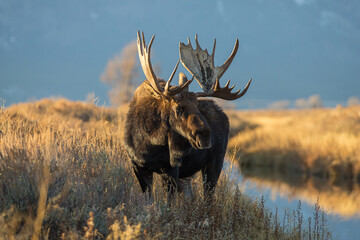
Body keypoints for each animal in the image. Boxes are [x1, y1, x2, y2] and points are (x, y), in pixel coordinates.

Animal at [124, 31, 250, 199]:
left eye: (197, 105)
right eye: (179, 108)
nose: (205, 135)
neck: (151, 142)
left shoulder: (171, 170)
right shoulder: (139, 168)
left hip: (215, 163)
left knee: (208, 198)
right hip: (188, 175)